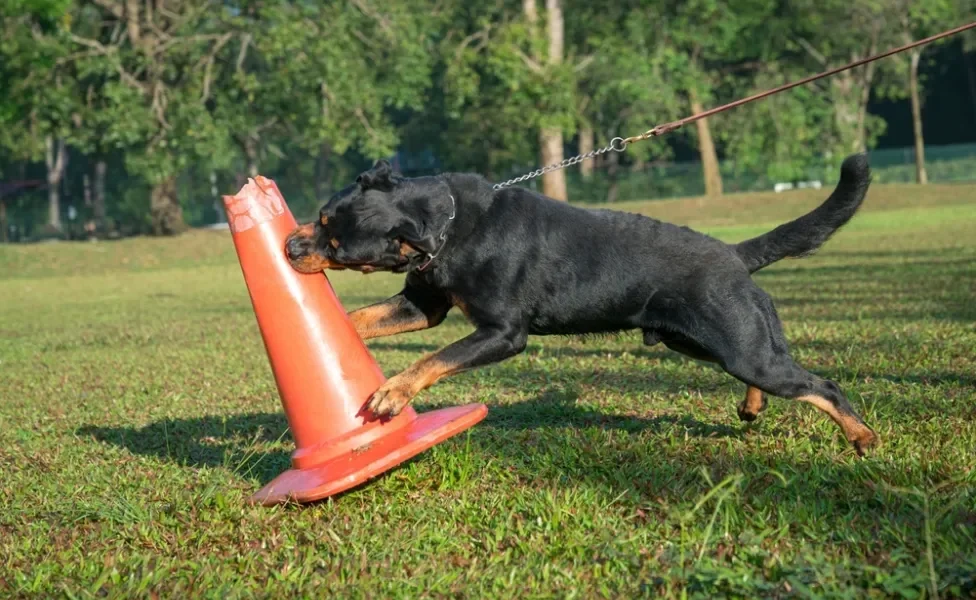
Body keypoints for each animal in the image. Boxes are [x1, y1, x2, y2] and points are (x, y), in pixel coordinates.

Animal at [286, 154, 880, 454]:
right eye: (320, 217)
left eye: (336, 244)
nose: (290, 246)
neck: (447, 227)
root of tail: (734, 254)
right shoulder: (424, 305)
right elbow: (364, 319)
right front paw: (335, 335)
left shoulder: (502, 333)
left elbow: (434, 359)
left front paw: (390, 393)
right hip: (703, 343)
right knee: (766, 375)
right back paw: (753, 407)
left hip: (739, 343)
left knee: (821, 385)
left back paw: (861, 436)